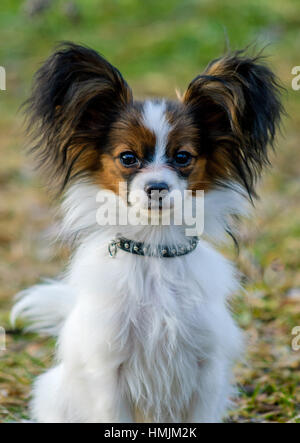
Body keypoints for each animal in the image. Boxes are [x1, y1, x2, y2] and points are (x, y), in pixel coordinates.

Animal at [11, 44, 282, 424]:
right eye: (128, 158)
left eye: (182, 157)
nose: (157, 188)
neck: (155, 250)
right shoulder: (109, 374)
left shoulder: (207, 369)